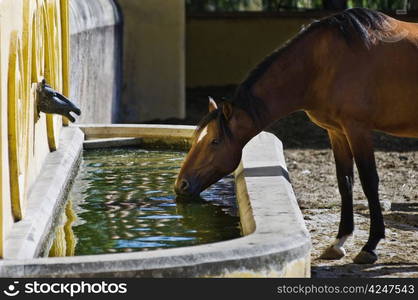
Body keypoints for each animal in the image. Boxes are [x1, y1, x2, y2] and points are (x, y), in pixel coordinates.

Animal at [174, 8, 418, 264]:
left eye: (215, 141)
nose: (181, 184)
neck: (322, 65)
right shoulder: (337, 132)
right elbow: (345, 182)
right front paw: (339, 242)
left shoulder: (357, 130)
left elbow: (369, 182)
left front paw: (370, 246)